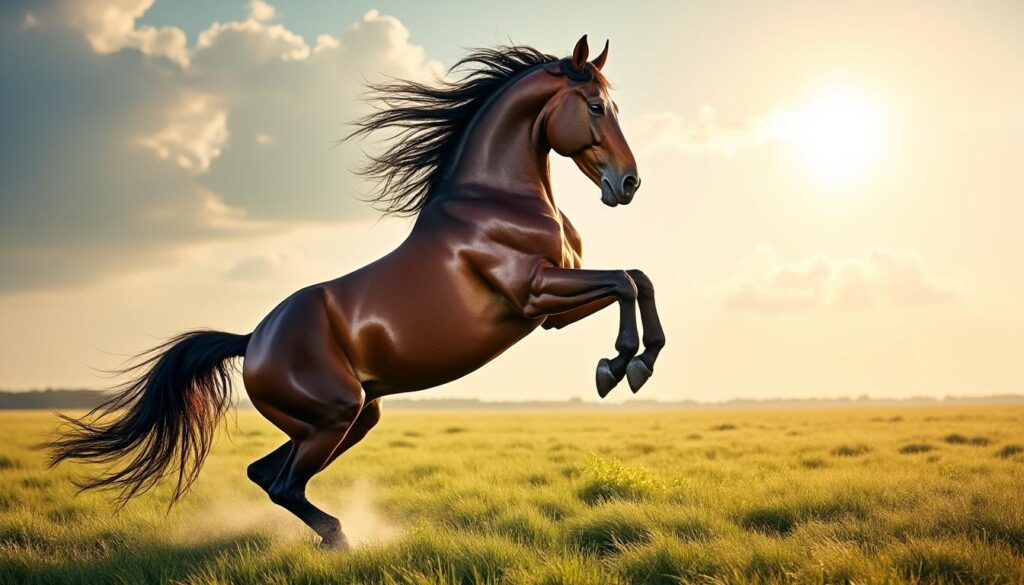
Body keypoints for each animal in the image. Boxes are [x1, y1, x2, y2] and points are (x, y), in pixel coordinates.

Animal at [47, 35, 665, 550]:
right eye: (595, 107)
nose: (629, 183)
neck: (495, 199)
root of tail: (252, 340)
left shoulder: (551, 312)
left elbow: (639, 277)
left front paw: (632, 363)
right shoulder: (533, 292)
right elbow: (624, 278)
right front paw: (621, 366)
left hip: (351, 417)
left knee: (266, 474)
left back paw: (328, 537)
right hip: (332, 415)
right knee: (283, 484)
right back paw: (341, 538)